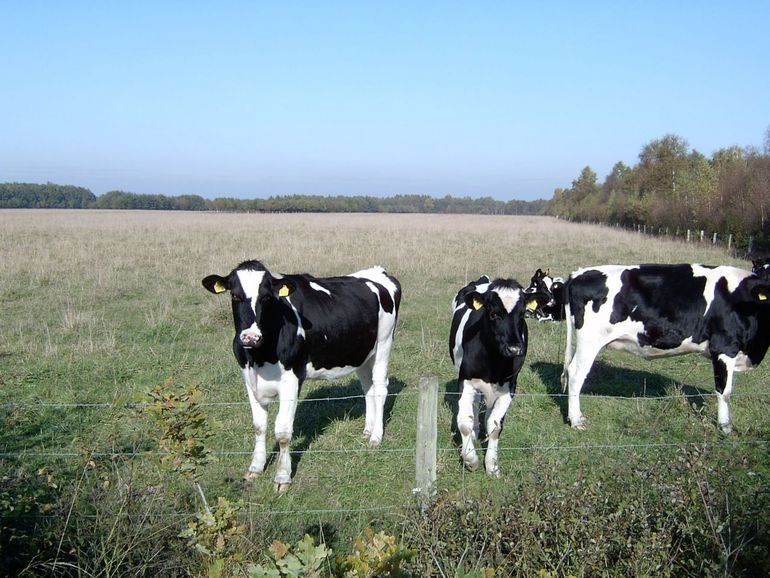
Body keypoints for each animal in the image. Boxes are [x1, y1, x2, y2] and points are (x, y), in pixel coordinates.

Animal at [198, 260, 402, 490]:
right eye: (234, 295)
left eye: (266, 297)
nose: (250, 337)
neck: (259, 357)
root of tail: (378, 271)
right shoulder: (249, 379)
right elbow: (259, 426)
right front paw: (255, 468)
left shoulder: (291, 380)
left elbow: (283, 432)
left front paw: (282, 477)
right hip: (361, 354)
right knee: (368, 388)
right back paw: (368, 429)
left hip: (384, 344)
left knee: (381, 388)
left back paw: (376, 437)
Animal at [448, 276, 548, 474]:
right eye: (494, 314)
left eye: (522, 314)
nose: (515, 349)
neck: (494, 363)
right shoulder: (465, 381)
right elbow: (464, 423)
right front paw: (470, 458)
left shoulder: (510, 386)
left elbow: (495, 425)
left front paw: (492, 464)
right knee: (475, 405)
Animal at [560, 264, 768, 430]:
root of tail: (579, 273)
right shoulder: (724, 348)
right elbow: (724, 392)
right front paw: (726, 428)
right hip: (590, 341)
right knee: (576, 374)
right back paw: (576, 421)